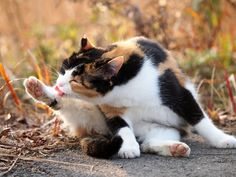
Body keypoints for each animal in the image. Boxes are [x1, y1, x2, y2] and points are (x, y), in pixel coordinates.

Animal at [24, 36, 236, 159]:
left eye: (75, 80)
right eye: (63, 69)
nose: (59, 84)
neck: (125, 88)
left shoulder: (180, 95)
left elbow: (200, 119)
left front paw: (223, 139)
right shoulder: (110, 110)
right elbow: (123, 128)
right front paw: (128, 147)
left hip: (162, 127)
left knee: (149, 143)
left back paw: (175, 148)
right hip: (87, 111)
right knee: (63, 104)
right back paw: (37, 88)